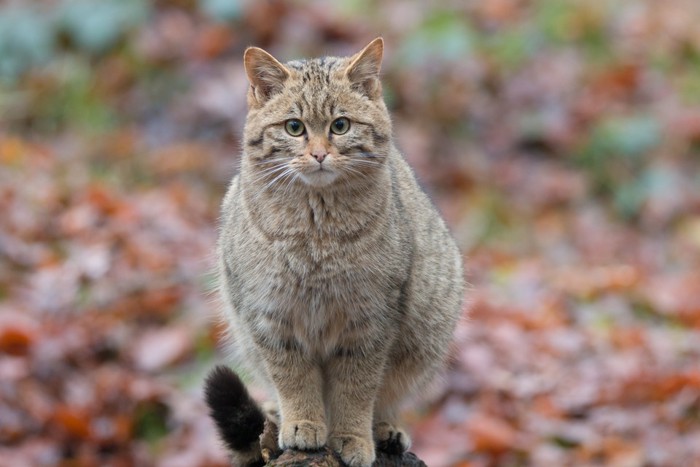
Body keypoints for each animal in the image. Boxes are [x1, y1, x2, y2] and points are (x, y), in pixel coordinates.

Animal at [213, 37, 464, 467]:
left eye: (340, 125)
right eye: (294, 127)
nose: (318, 154)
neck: (317, 236)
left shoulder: (370, 321)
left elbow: (356, 391)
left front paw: (353, 437)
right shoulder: (271, 318)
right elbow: (293, 380)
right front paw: (303, 423)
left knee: (384, 400)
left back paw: (385, 431)